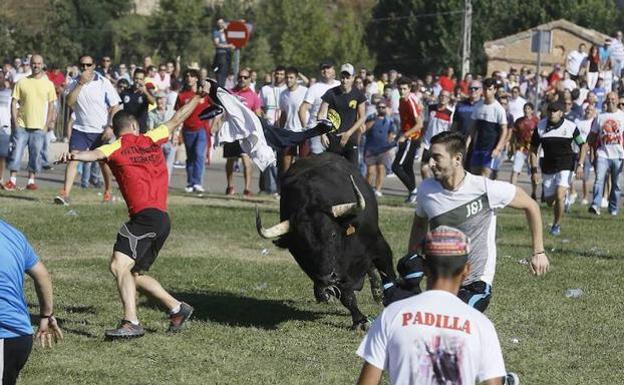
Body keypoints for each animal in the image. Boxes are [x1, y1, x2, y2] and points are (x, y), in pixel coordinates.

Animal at [256, 152, 398, 328]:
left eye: (333, 234)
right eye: (302, 245)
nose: (327, 277)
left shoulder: (379, 247)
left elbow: (389, 276)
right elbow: (346, 296)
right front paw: (360, 320)